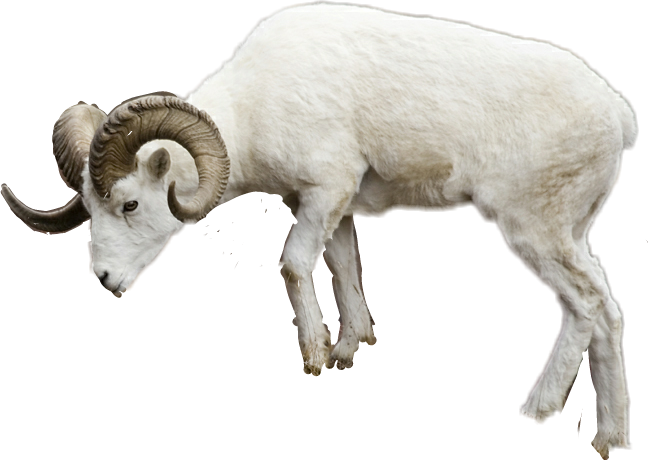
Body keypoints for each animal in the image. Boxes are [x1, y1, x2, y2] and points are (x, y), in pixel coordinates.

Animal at [0, 3, 637, 456]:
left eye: (130, 204)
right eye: (90, 206)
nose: (103, 277)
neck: (257, 104)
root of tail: (618, 118)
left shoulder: (325, 191)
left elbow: (292, 264)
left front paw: (314, 357)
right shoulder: (332, 209)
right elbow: (342, 269)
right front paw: (348, 349)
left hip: (533, 231)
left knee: (583, 306)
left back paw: (540, 409)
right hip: (568, 236)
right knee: (604, 311)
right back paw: (609, 440)